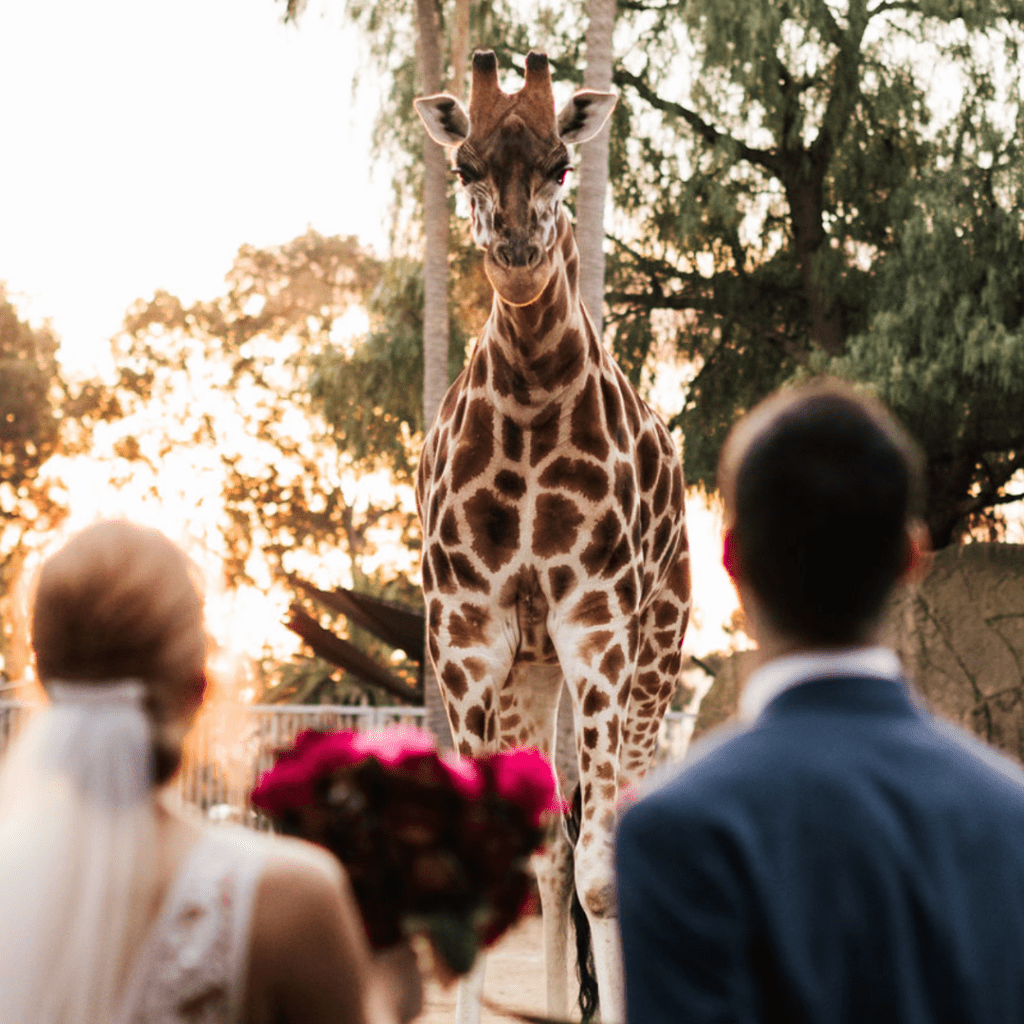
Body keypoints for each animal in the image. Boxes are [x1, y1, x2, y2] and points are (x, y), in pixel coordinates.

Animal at [414, 51, 691, 1021]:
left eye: (562, 166)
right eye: (464, 166)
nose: (518, 257)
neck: (533, 397)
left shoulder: (597, 628)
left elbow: (605, 876)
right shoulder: (469, 635)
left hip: (655, 652)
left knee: (599, 847)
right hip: (530, 674)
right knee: (550, 857)